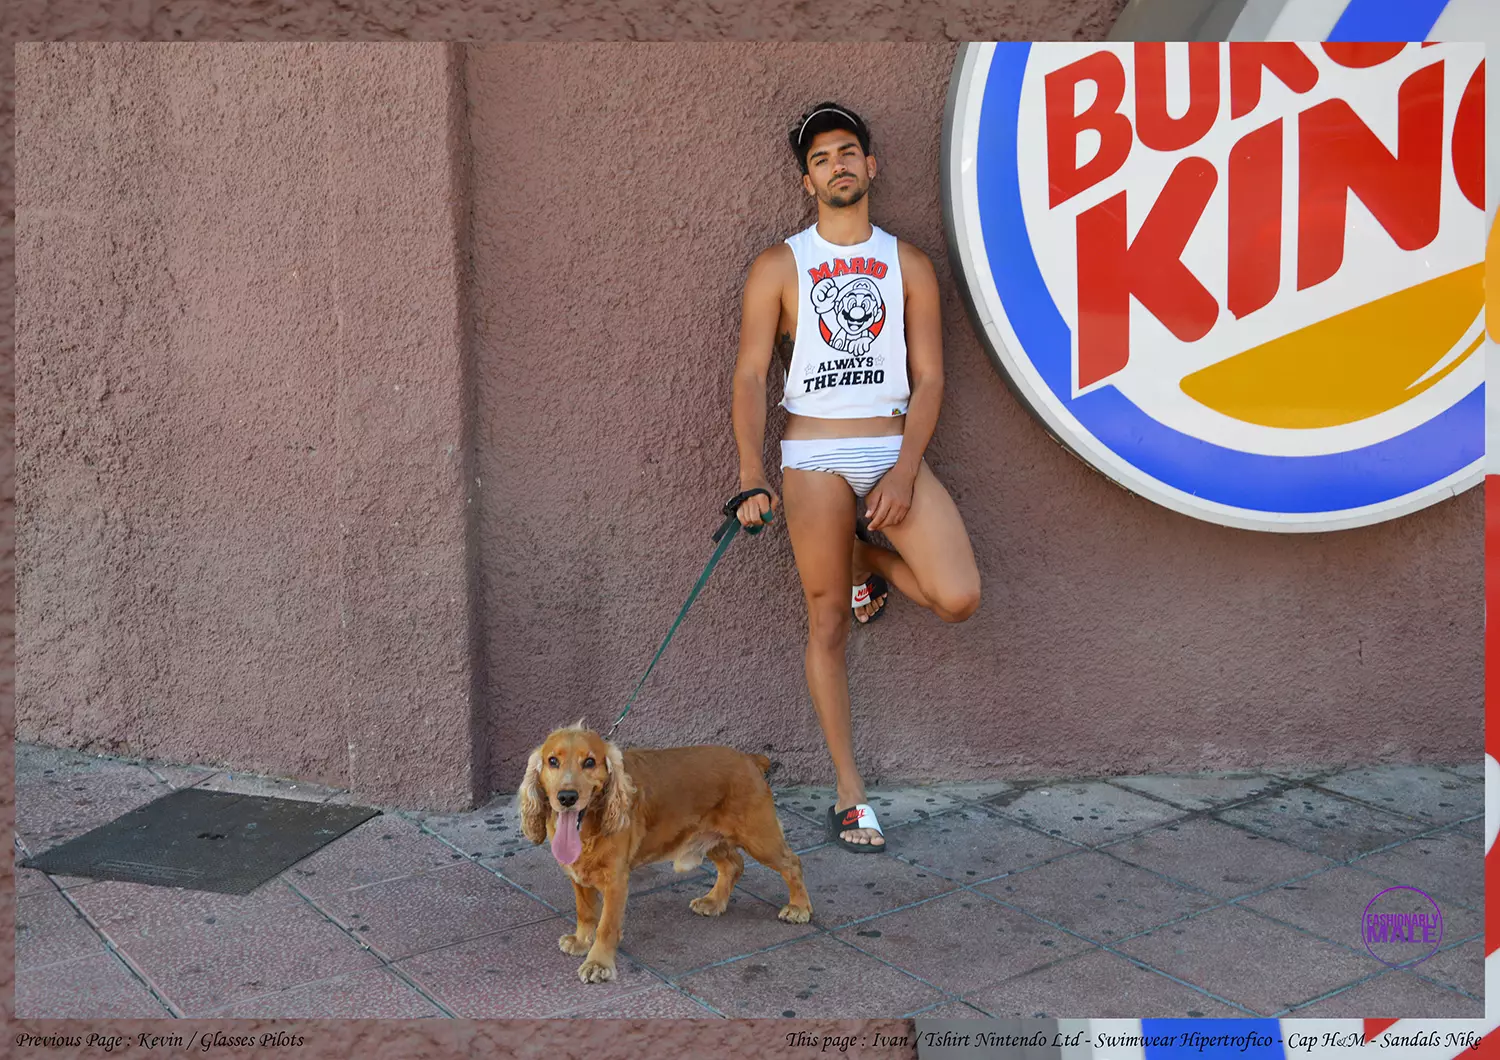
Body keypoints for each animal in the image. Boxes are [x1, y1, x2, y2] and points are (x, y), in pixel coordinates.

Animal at [522, 725, 816, 983]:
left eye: (590, 762)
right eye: (552, 761)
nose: (567, 797)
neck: (587, 829)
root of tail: (749, 759)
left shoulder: (616, 880)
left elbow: (606, 926)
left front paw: (598, 964)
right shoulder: (577, 873)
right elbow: (585, 912)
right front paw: (582, 941)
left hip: (759, 836)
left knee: (792, 862)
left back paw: (799, 907)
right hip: (711, 838)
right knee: (733, 864)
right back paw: (713, 901)